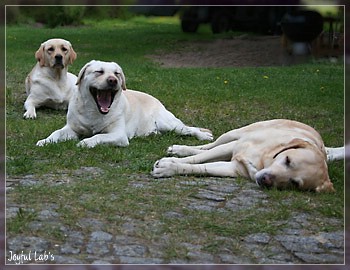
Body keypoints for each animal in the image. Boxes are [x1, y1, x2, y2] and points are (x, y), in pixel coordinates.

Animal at [36, 59, 213, 148]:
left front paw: (86, 142)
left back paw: (204, 135)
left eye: (117, 73)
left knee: (190, 129)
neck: (93, 111)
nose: (113, 80)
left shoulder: (118, 135)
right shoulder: (71, 129)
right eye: (99, 72)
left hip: (169, 124)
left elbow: (99, 136)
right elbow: (56, 133)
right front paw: (45, 141)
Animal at [152, 119, 344, 192]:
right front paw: (171, 160)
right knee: (208, 146)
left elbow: (201, 167)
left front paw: (169, 168)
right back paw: (179, 148)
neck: (264, 161)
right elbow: (197, 158)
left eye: (295, 183)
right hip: (234, 134)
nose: (266, 180)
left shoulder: (233, 168)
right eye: (288, 160)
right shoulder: (235, 146)